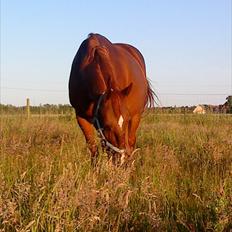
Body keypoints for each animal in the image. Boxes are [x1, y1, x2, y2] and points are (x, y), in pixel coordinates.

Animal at [68, 33, 154, 164]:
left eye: (126, 121)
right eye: (107, 125)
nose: (121, 159)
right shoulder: (81, 117)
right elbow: (94, 149)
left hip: (136, 116)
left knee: (131, 142)